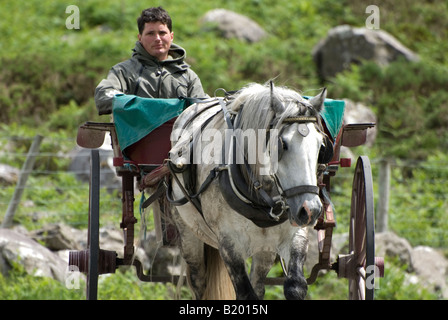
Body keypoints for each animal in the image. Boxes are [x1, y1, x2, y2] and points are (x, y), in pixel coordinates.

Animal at [166, 82, 330, 300]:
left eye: (321, 145)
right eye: (282, 144)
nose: (311, 210)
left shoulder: (294, 233)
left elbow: (295, 286)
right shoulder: (228, 243)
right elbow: (246, 294)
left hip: (265, 247)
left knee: (259, 283)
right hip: (187, 233)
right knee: (198, 280)